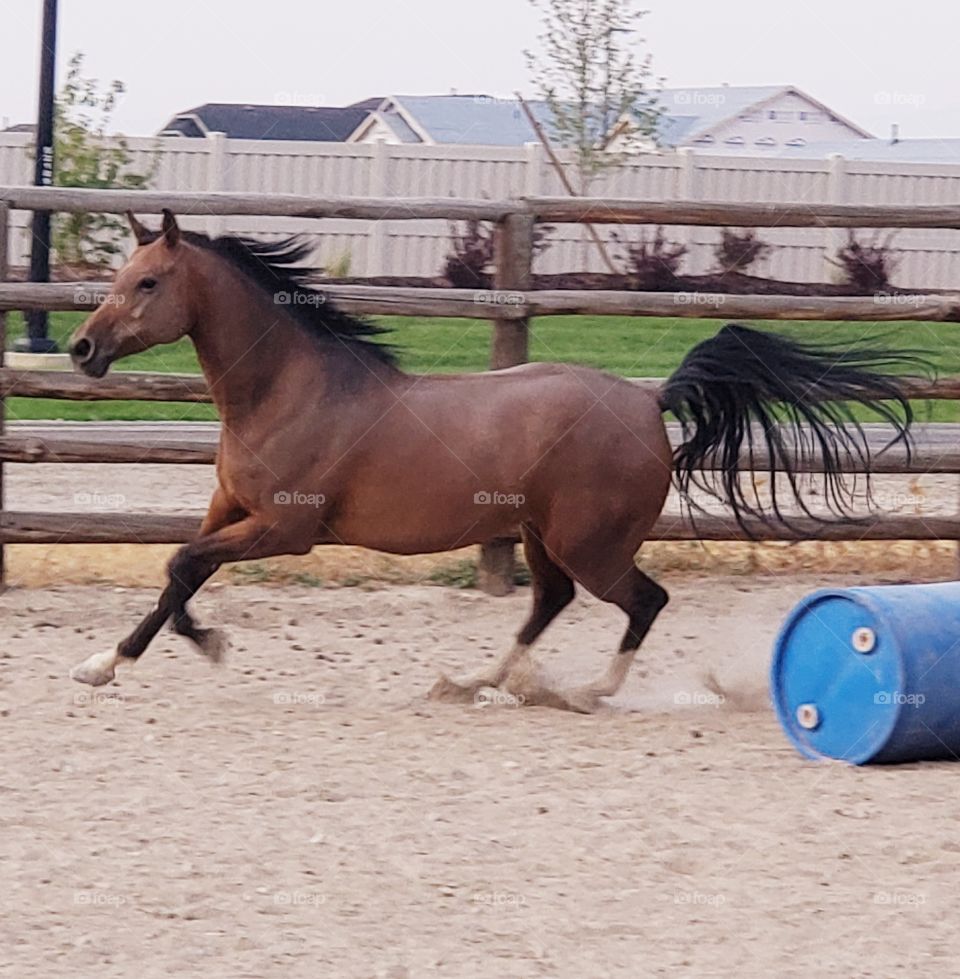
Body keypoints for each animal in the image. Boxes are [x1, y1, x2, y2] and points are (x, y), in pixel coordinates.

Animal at [66, 210, 917, 712]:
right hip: (543, 535)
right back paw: (476, 681)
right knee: (550, 601)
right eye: (114, 278)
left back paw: (584, 691)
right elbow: (179, 571)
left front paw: (188, 647)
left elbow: (181, 566)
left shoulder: (283, 530)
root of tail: (651, 401)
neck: (290, 391)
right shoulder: (230, 511)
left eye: (147, 282)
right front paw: (113, 661)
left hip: (589, 542)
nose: (81, 348)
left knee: (643, 601)